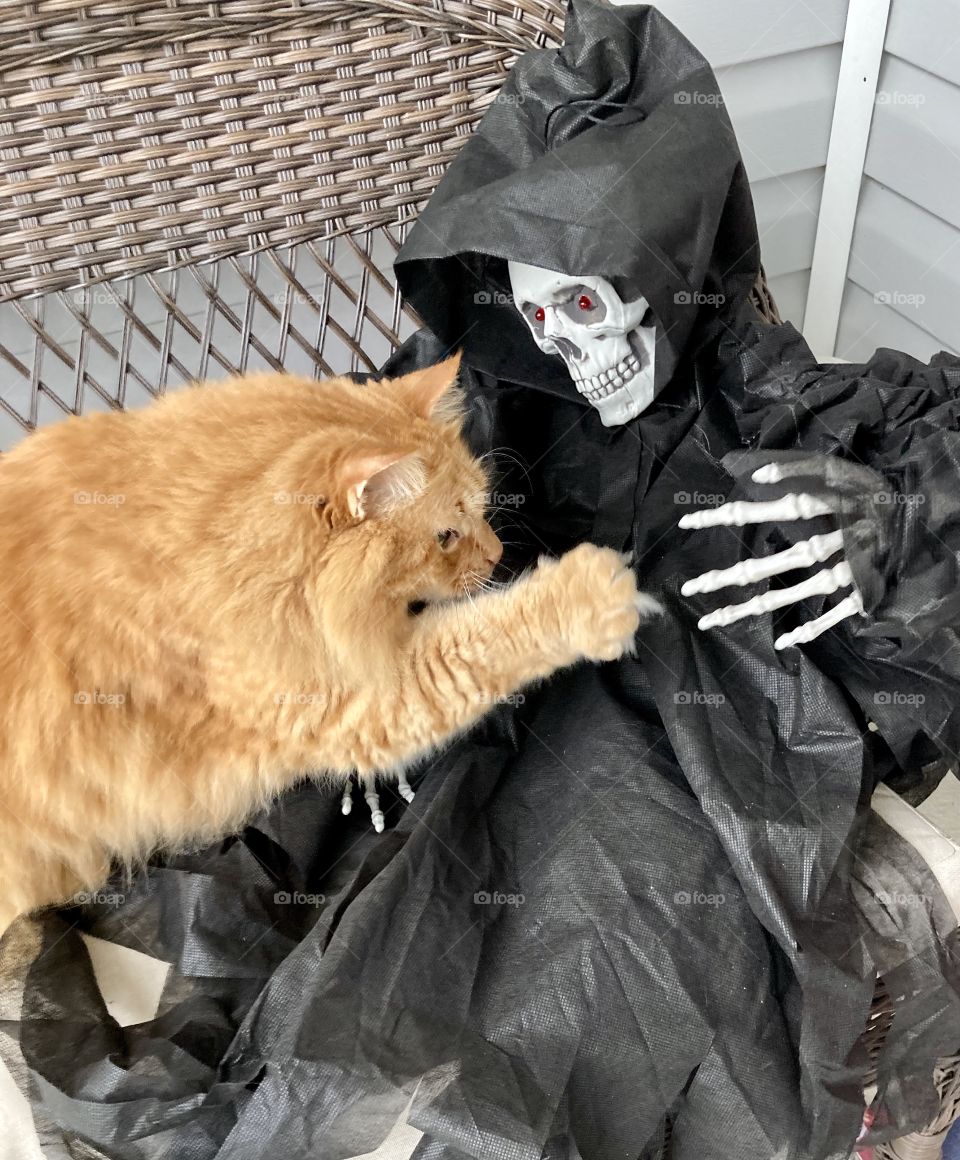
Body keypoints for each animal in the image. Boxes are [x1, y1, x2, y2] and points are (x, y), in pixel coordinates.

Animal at [0, 352, 658, 932]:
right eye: (446, 535)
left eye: (482, 508)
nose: (497, 554)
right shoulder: (357, 701)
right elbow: (482, 637)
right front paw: (590, 593)